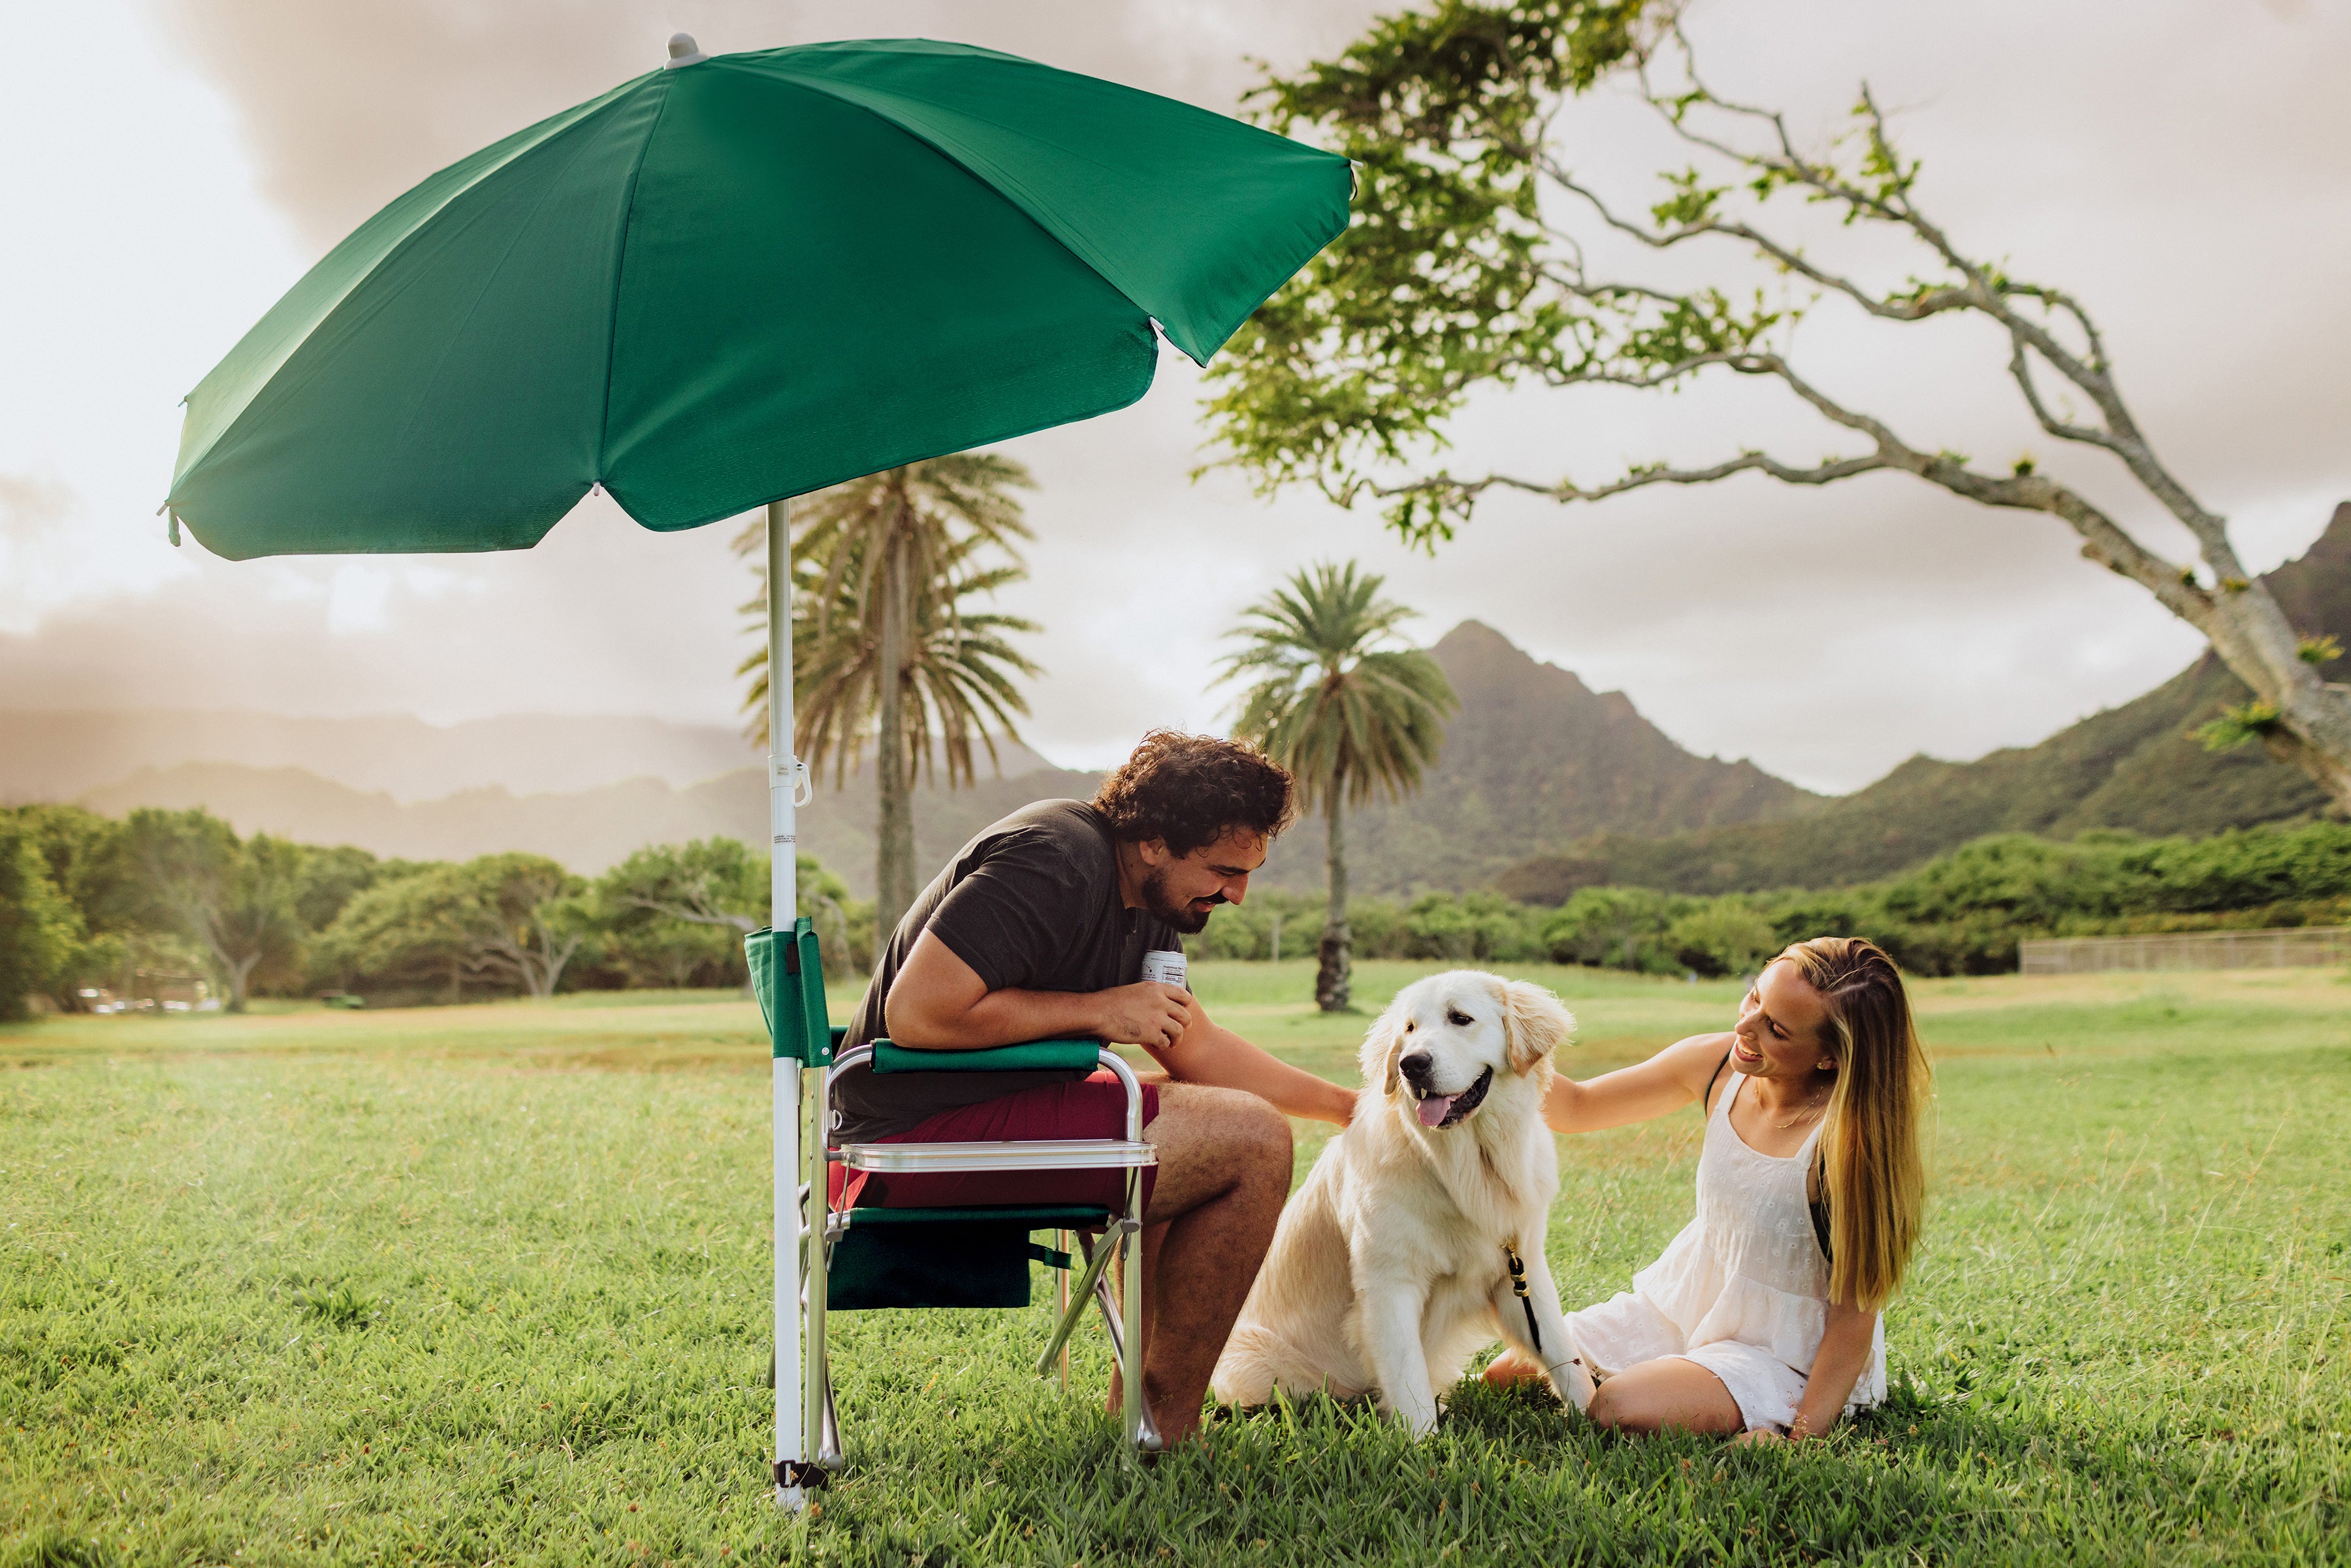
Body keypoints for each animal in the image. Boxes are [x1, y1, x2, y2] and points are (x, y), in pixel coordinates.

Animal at [1213, 973, 1599, 1439]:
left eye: (1460, 1018)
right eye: (1410, 1029)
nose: (1411, 1065)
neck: (1465, 1168)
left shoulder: (1520, 1271)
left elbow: (1562, 1352)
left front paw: (1593, 1416)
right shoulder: (1389, 1283)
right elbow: (1408, 1380)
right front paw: (1422, 1447)